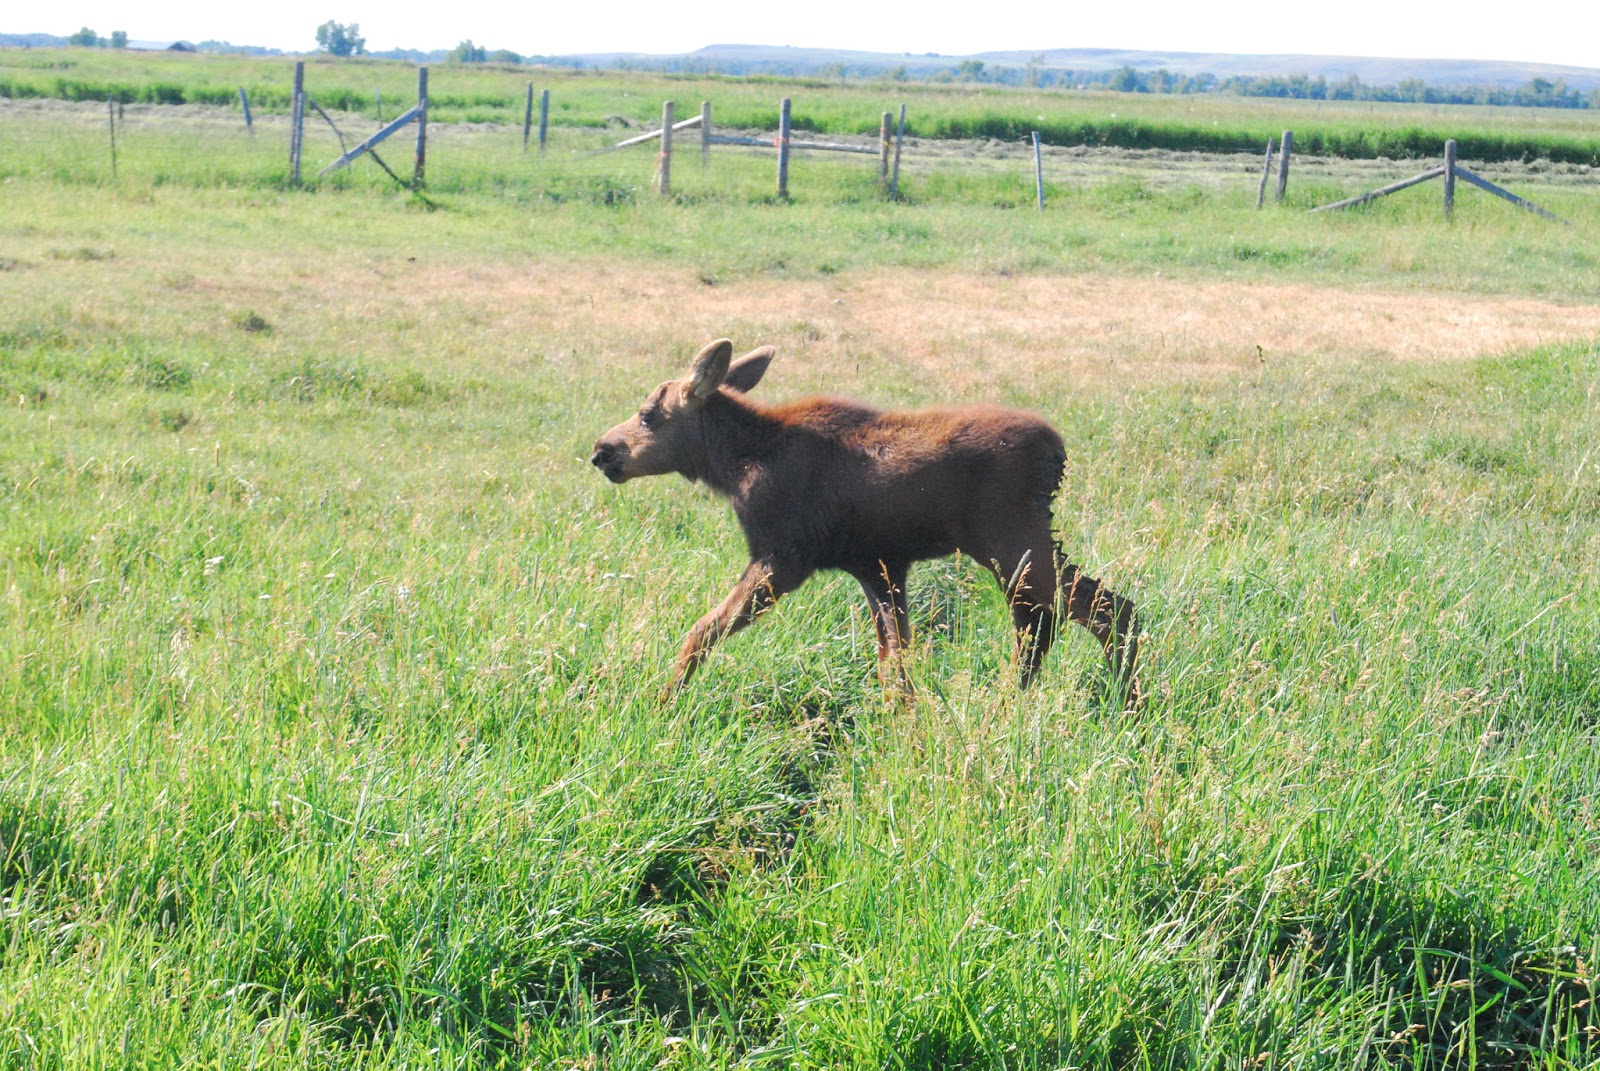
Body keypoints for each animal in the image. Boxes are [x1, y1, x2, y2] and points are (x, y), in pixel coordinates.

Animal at [589, 338, 1140, 703]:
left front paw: (663, 701)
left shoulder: (782, 558)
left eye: (648, 415)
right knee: (1060, 619)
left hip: (1011, 544)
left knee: (1096, 612)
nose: (601, 451)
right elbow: (894, 662)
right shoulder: (879, 565)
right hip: (1021, 550)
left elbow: (702, 631)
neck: (734, 465)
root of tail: (1058, 454)